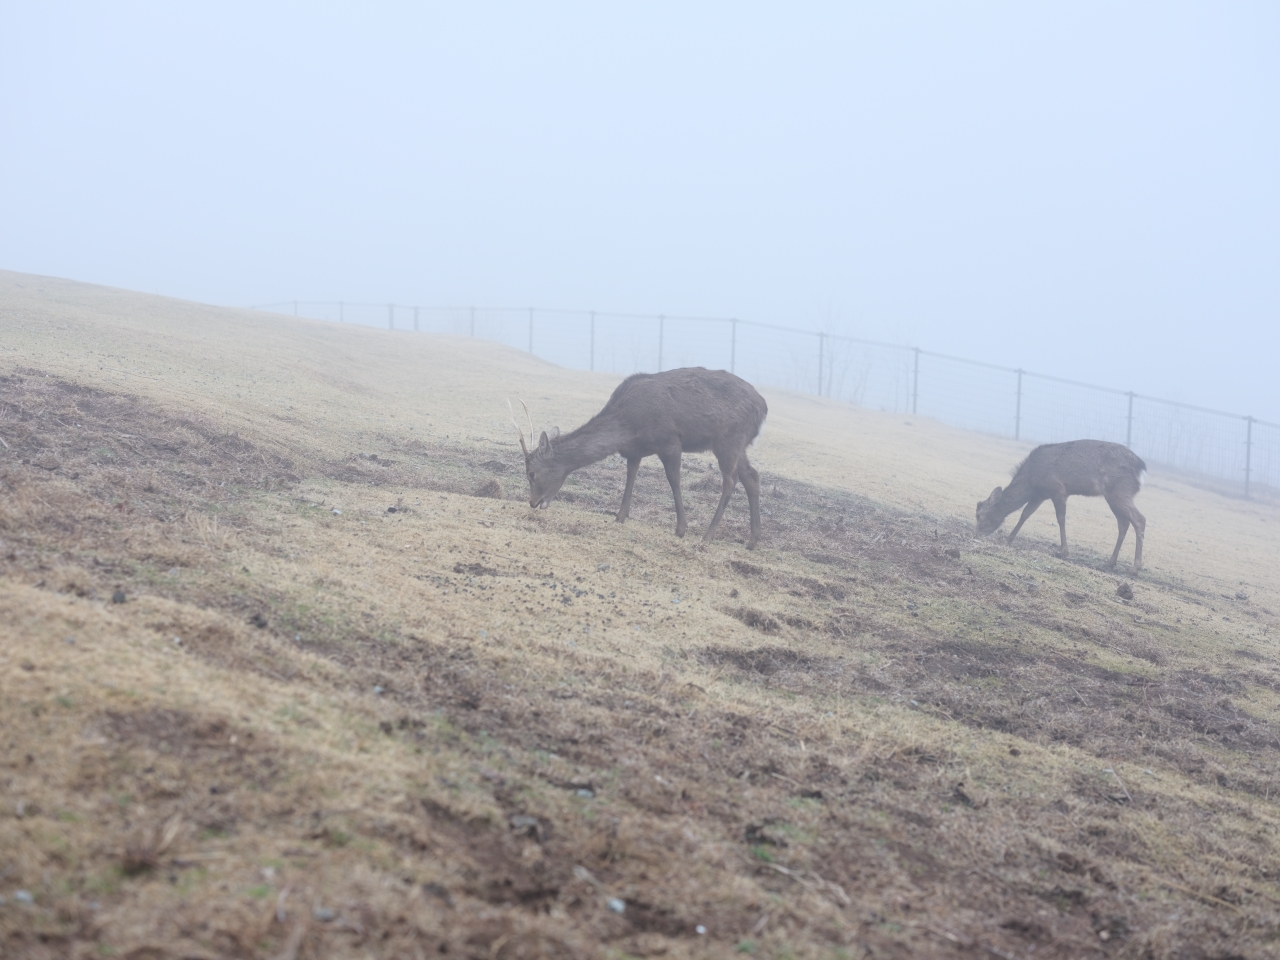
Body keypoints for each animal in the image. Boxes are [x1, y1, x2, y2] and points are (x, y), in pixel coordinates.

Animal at [509, 366, 768, 547]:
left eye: (531, 473)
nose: (533, 502)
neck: (628, 426)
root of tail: (764, 408)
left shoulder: (670, 441)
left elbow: (674, 481)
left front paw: (681, 528)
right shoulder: (634, 450)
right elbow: (630, 476)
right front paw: (620, 516)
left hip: (728, 438)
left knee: (731, 480)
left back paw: (708, 535)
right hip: (739, 444)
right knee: (752, 476)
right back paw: (752, 540)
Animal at [972, 442, 1146, 570]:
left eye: (979, 515)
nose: (976, 534)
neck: (1031, 480)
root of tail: (1141, 466)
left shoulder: (1058, 490)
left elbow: (1061, 519)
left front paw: (1063, 551)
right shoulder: (1040, 495)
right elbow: (1025, 514)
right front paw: (1008, 539)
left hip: (1119, 491)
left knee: (1139, 519)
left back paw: (1135, 567)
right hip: (1115, 496)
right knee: (1123, 523)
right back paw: (1110, 562)